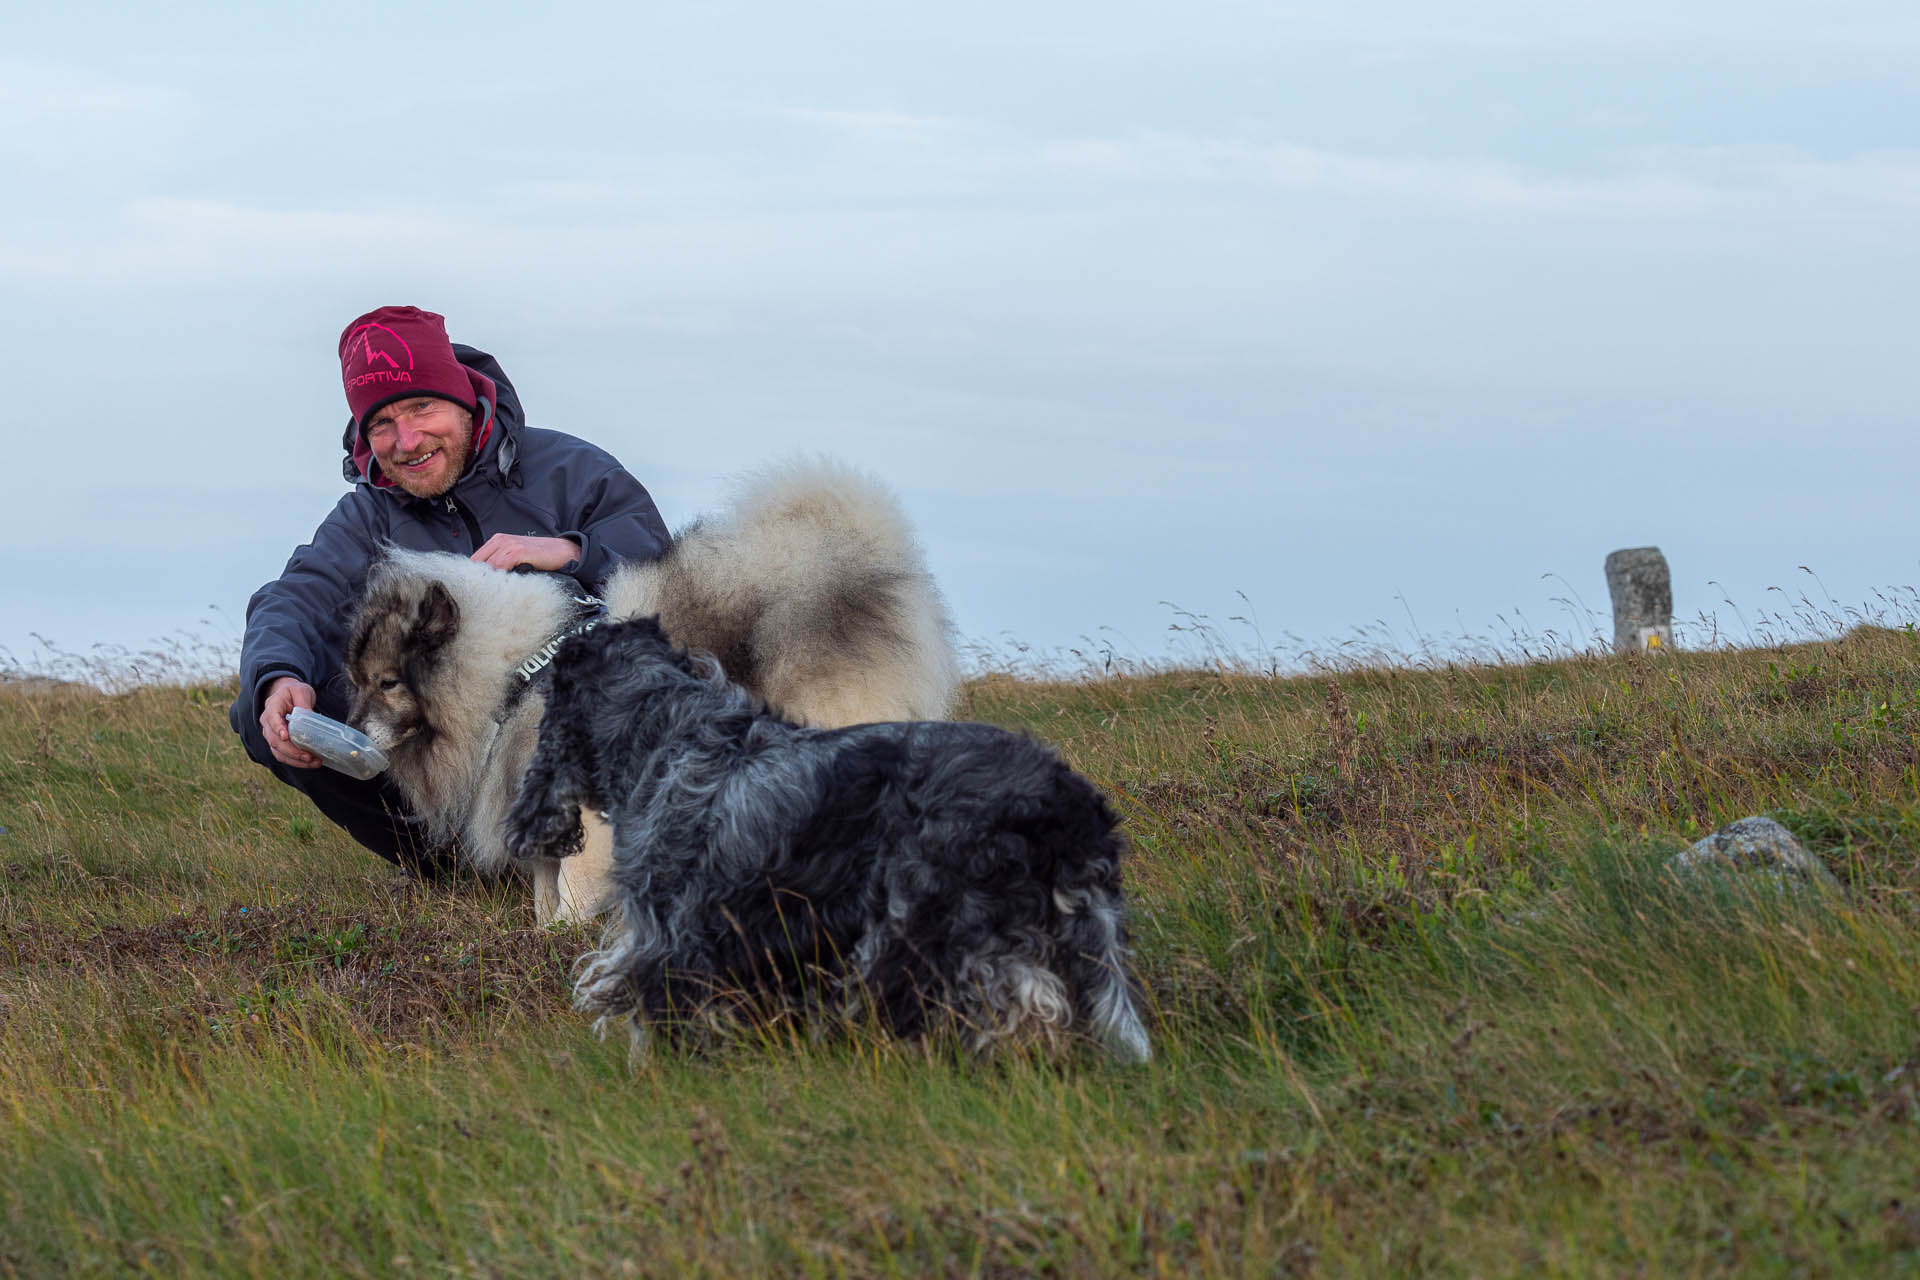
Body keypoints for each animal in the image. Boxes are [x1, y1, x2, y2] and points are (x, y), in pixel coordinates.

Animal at [341, 460, 956, 921]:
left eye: (387, 682)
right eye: (356, 681)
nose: (349, 728)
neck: (516, 674)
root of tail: (856, 554)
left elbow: (570, 892)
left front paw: (565, 943)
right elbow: (543, 893)